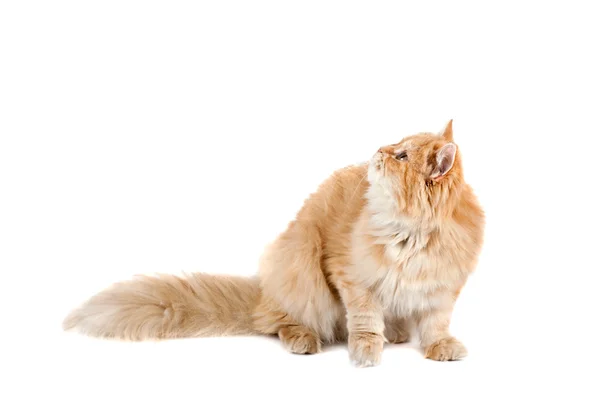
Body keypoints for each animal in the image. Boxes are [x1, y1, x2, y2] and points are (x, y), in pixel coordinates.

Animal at [62, 120, 482, 366]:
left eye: (401, 155)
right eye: (396, 146)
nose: (378, 150)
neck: (413, 235)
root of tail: (264, 296)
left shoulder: (444, 289)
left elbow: (435, 325)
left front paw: (440, 347)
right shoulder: (352, 278)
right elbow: (364, 321)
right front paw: (366, 351)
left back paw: (395, 332)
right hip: (303, 268)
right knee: (281, 323)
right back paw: (304, 340)